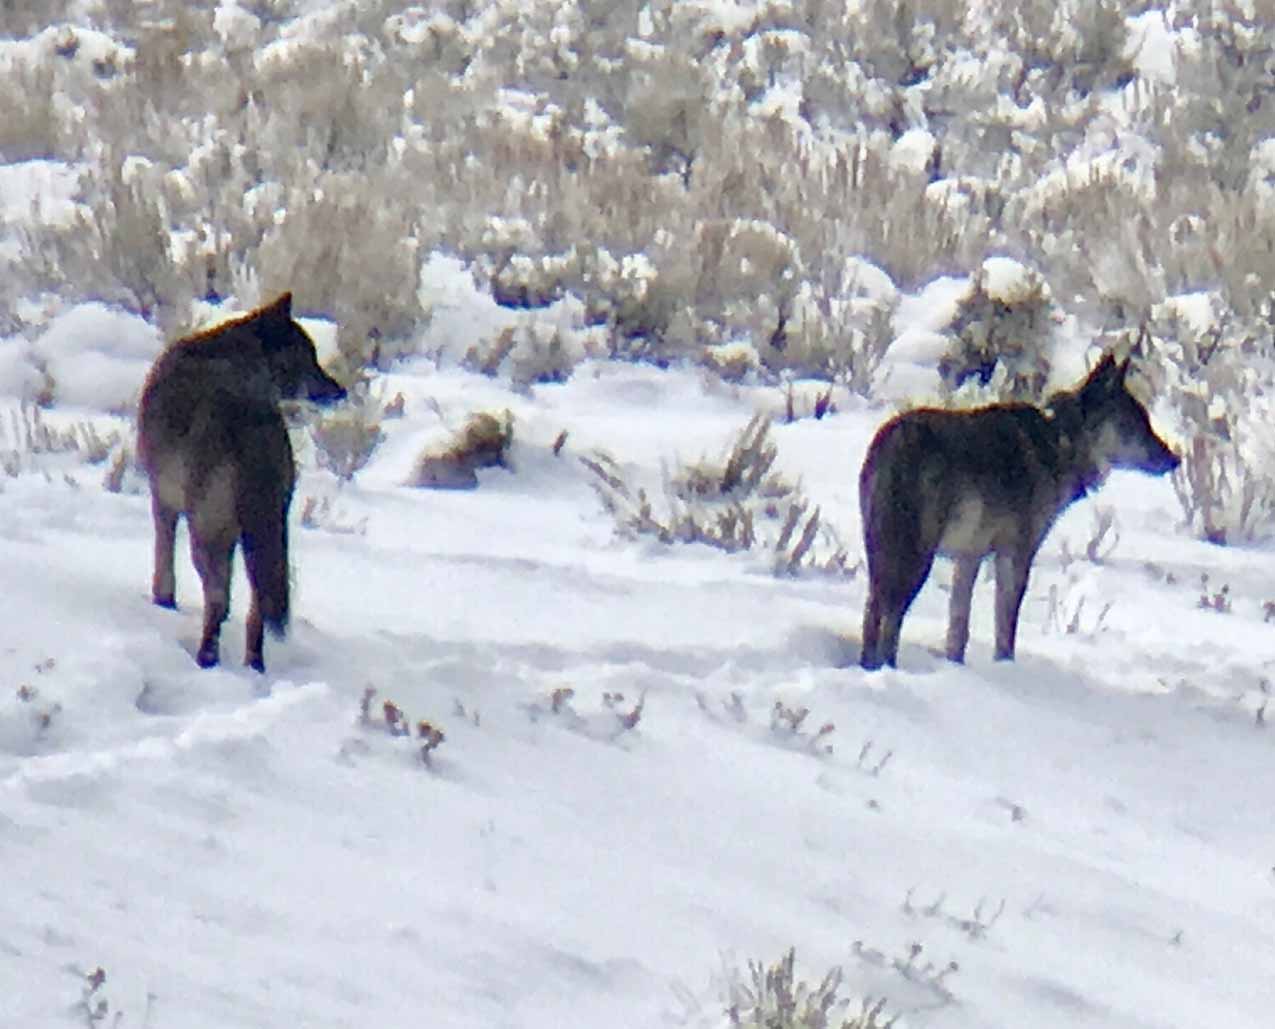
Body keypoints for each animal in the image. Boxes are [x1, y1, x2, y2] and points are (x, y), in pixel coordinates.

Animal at [137, 292, 346, 672]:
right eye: (309, 355)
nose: (339, 391)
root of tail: (254, 422)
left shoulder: (163, 501)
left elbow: (164, 566)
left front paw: (163, 604)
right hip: (266, 533)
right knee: (258, 606)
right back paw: (254, 666)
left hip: (206, 533)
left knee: (219, 598)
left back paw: (207, 660)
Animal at [859, 353, 1178, 670]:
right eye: (1137, 423)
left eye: (1145, 421)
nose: (1174, 458)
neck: (1061, 442)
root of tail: (892, 441)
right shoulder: (1016, 555)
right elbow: (1005, 627)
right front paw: (1005, 667)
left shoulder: (969, 557)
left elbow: (958, 629)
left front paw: (957, 668)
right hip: (915, 559)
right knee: (891, 618)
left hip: (880, 555)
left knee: (873, 614)